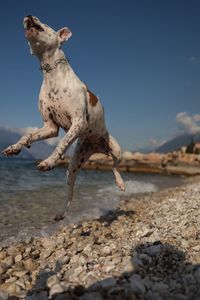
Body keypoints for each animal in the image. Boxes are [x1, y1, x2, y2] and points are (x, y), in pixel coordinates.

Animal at [2, 15, 125, 220]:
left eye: (44, 23)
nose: (29, 15)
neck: (51, 73)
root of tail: (98, 147)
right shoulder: (50, 127)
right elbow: (26, 135)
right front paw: (15, 147)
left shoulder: (77, 122)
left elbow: (61, 144)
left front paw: (49, 161)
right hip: (74, 165)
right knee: (70, 192)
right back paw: (60, 213)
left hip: (116, 150)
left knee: (114, 166)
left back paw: (121, 183)